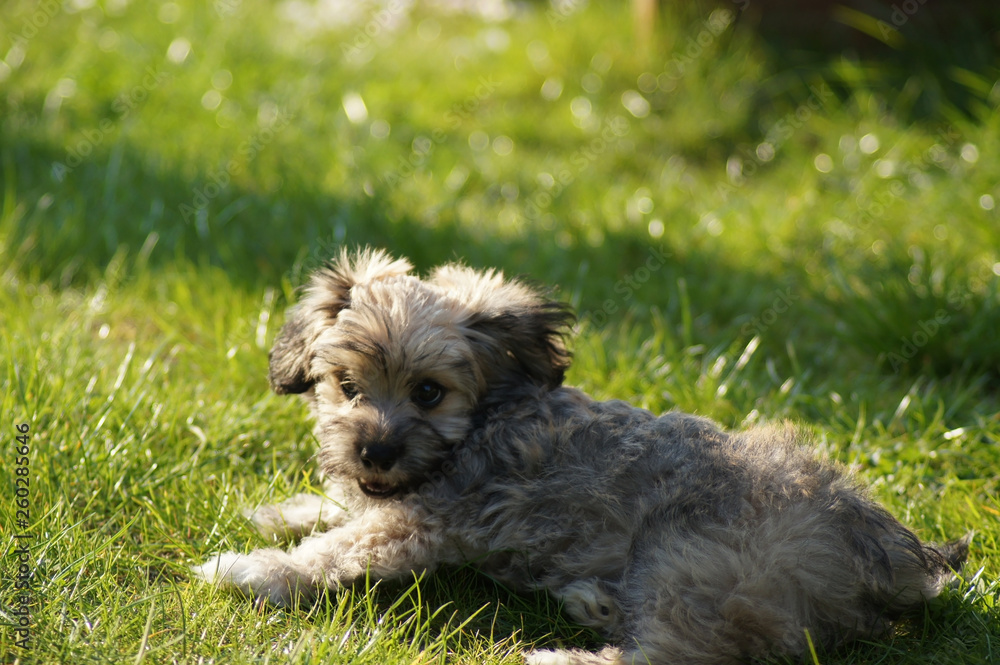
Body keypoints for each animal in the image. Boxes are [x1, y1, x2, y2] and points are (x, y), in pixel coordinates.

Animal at [195, 246, 968, 660]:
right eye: (346, 386)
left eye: (429, 393)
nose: (375, 452)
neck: (489, 415)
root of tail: (893, 552)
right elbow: (337, 512)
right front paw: (285, 510)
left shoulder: (423, 523)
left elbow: (337, 548)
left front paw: (251, 567)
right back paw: (593, 602)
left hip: (688, 554)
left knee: (676, 653)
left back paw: (552, 652)